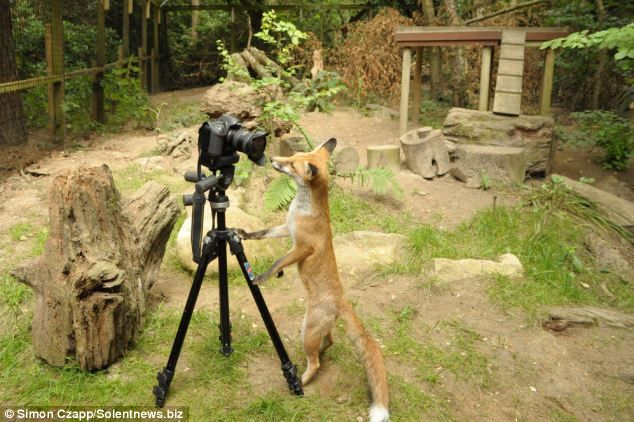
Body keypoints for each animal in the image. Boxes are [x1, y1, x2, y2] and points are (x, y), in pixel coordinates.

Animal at [236, 138, 390, 422]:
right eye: (292, 156)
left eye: (291, 164)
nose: (272, 159)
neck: (302, 208)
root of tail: (341, 300)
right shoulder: (286, 229)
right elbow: (262, 233)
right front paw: (243, 233)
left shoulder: (302, 247)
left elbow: (277, 263)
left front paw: (260, 277)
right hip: (313, 327)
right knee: (329, 342)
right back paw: (319, 356)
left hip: (306, 329)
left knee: (316, 362)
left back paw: (299, 383)